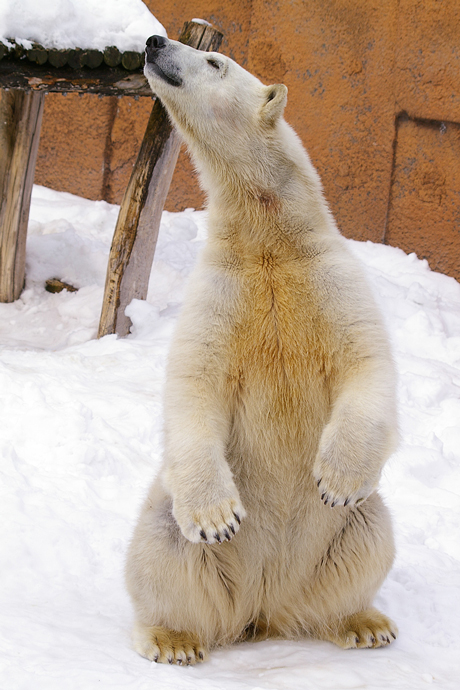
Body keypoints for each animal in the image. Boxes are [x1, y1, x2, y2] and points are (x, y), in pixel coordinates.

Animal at [126, 35, 398, 664]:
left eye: (215, 61)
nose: (154, 41)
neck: (270, 240)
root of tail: (263, 608)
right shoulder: (221, 291)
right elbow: (193, 383)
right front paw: (217, 518)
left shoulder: (328, 277)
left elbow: (366, 361)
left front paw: (336, 480)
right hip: (176, 532)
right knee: (161, 548)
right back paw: (174, 638)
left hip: (348, 539)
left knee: (370, 536)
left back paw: (364, 623)